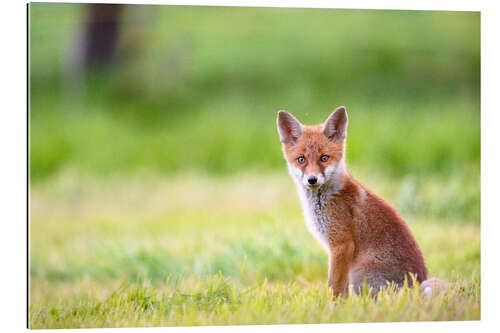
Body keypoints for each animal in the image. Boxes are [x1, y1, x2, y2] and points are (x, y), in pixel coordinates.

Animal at [278, 106, 446, 296]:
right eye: (301, 159)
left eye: (324, 158)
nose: (312, 179)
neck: (325, 200)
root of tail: (416, 285)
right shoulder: (338, 250)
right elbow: (341, 290)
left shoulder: (342, 245)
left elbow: (335, 288)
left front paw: (332, 305)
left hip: (359, 275)